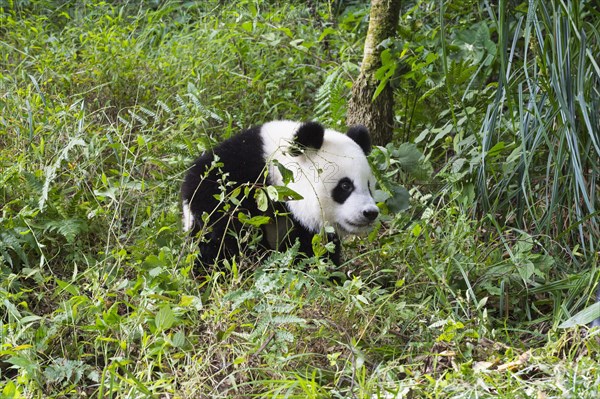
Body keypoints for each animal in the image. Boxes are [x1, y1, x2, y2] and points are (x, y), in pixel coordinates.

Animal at [182, 119, 380, 268]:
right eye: (345, 186)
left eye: (369, 186)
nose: (370, 213)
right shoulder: (238, 170)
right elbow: (220, 214)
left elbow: (311, 247)